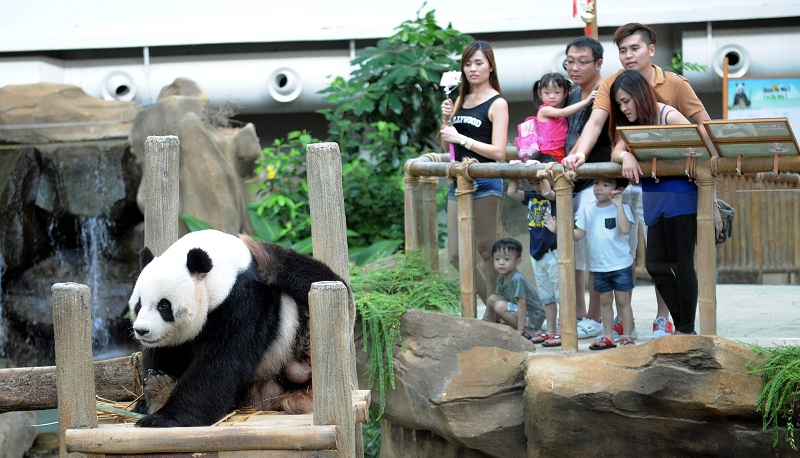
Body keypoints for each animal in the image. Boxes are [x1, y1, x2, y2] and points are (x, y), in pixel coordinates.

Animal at [127, 229, 349, 427]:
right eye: (138, 304)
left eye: (164, 305)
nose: (142, 330)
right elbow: (166, 353)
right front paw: (154, 391)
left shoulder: (243, 300)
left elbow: (222, 361)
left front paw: (166, 418)